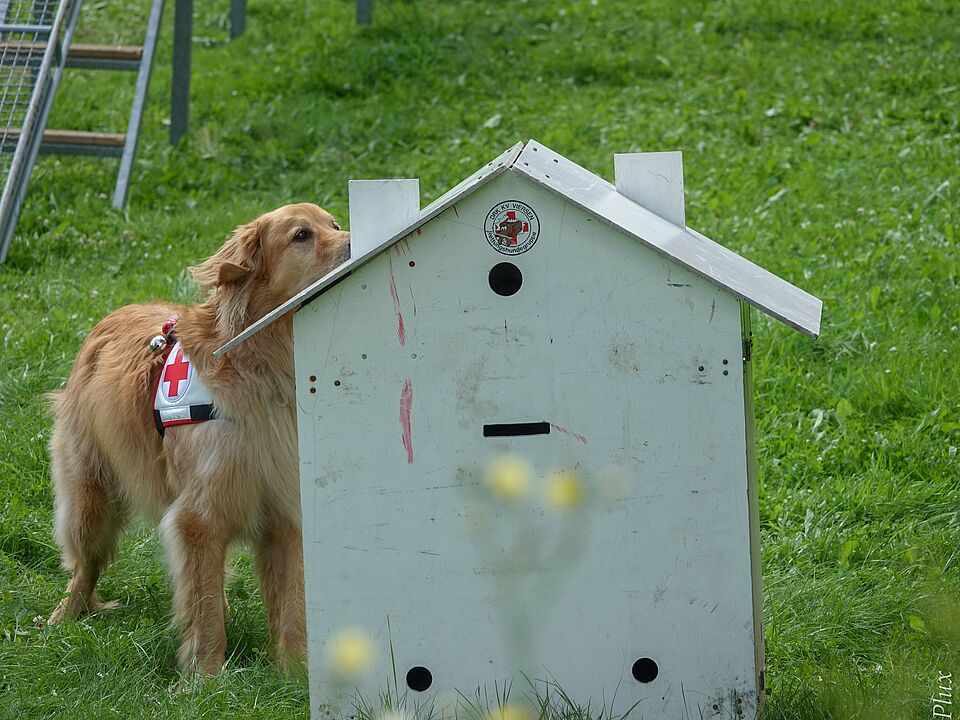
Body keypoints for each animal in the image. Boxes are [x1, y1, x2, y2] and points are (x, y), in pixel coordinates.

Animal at [47, 200, 350, 672]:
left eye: (334, 224)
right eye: (302, 235)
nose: (355, 241)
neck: (264, 367)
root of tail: (112, 314)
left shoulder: (286, 507)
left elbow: (292, 602)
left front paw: (295, 669)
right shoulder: (199, 515)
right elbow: (204, 605)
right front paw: (206, 672)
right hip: (89, 495)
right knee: (86, 564)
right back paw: (66, 615)